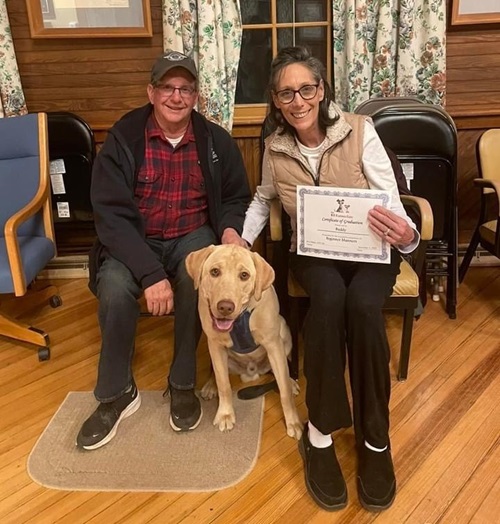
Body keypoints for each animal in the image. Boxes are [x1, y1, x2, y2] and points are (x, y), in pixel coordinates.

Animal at [186, 244, 302, 440]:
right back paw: (210, 385)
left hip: (285, 333)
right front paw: (225, 414)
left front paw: (293, 422)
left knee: (281, 372)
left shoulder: (273, 345)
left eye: (244, 275)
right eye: (214, 271)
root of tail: (251, 373)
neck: (240, 318)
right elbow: (223, 383)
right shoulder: (215, 345)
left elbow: (284, 390)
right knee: (215, 372)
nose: (225, 307)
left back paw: (291, 381)